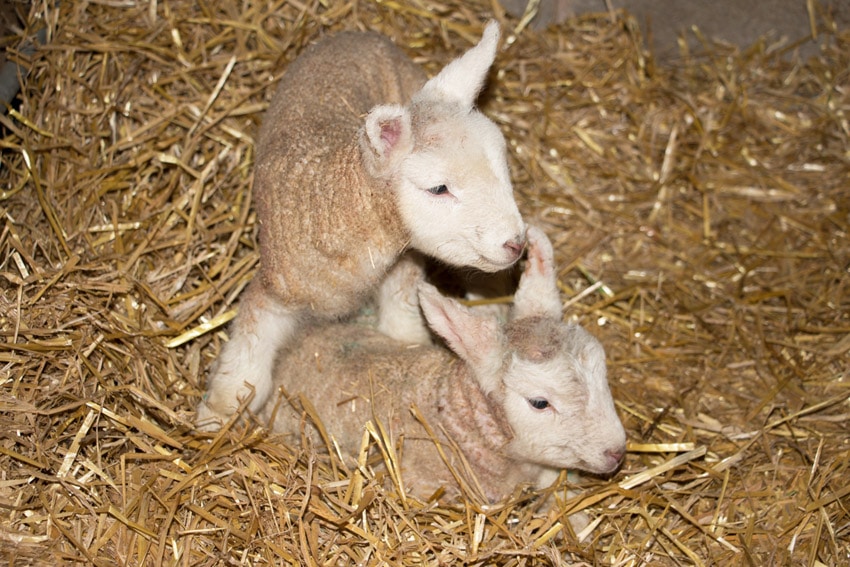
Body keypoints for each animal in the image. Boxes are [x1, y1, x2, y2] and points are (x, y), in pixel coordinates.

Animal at [197, 22, 527, 429]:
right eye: (438, 188)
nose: (516, 243)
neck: (342, 207)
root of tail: (358, 33)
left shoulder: (403, 269)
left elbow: (402, 327)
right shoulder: (275, 290)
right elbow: (247, 359)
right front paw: (216, 415)